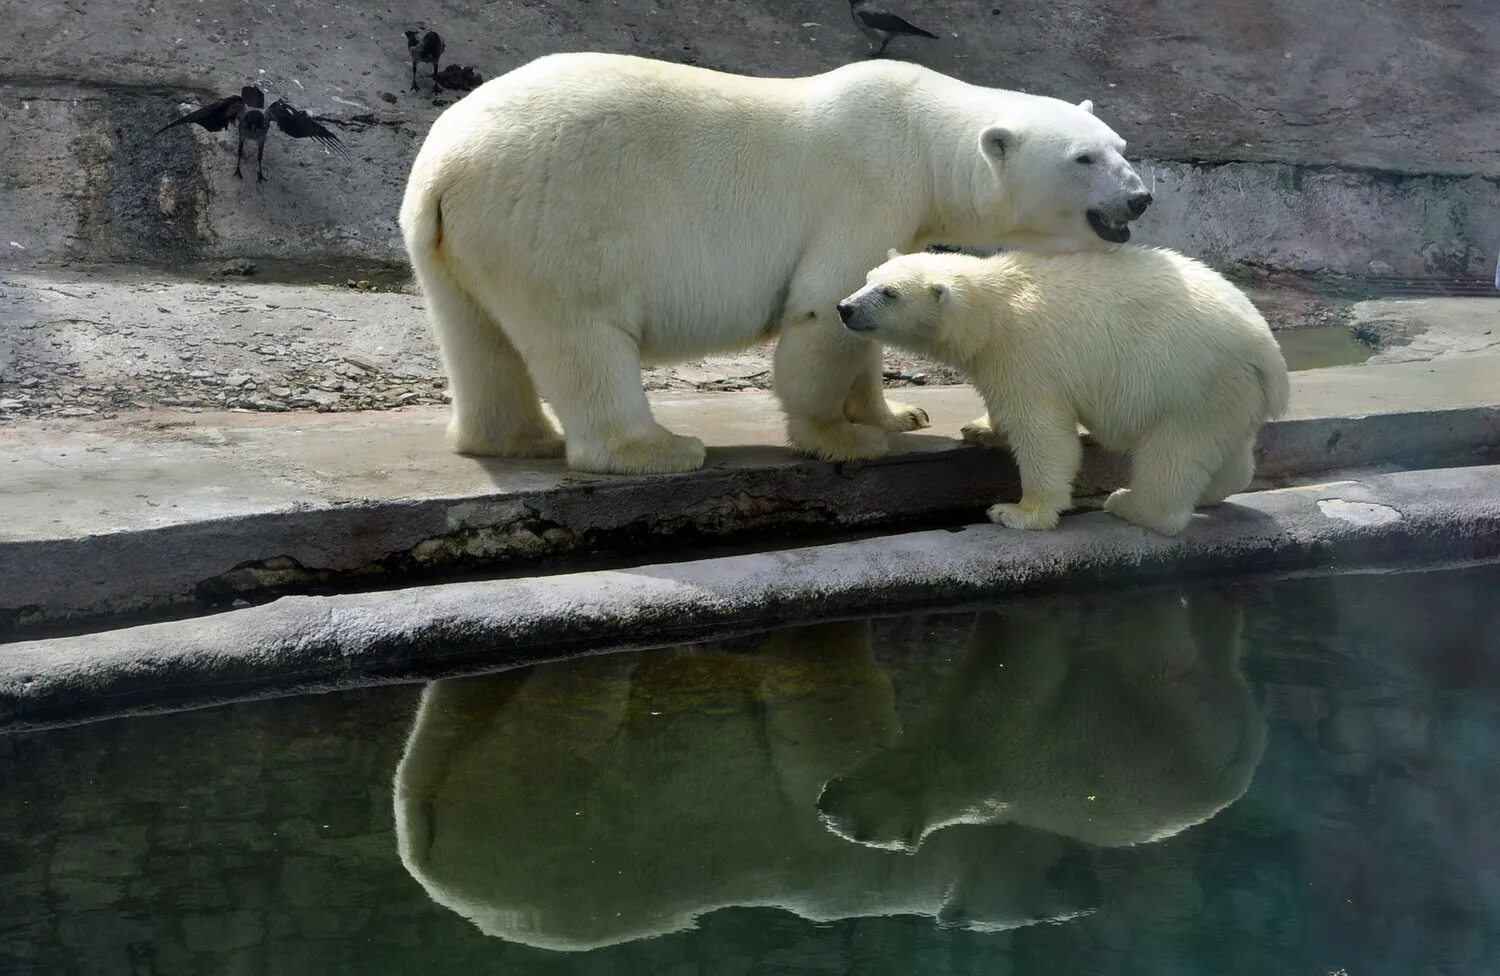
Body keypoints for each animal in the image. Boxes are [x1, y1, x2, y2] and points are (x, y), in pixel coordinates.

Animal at [399, 52, 1146, 473]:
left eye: (1119, 144)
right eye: (1084, 158)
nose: (1140, 197)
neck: (921, 134)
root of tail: (444, 167)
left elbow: (865, 313)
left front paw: (896, 414)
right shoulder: (864, 184)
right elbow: (825, 306)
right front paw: (842, 439)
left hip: (455, 240)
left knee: (476, 335)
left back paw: (517, 439)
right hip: (554, 217)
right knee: (581, 335)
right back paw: (657, 450)